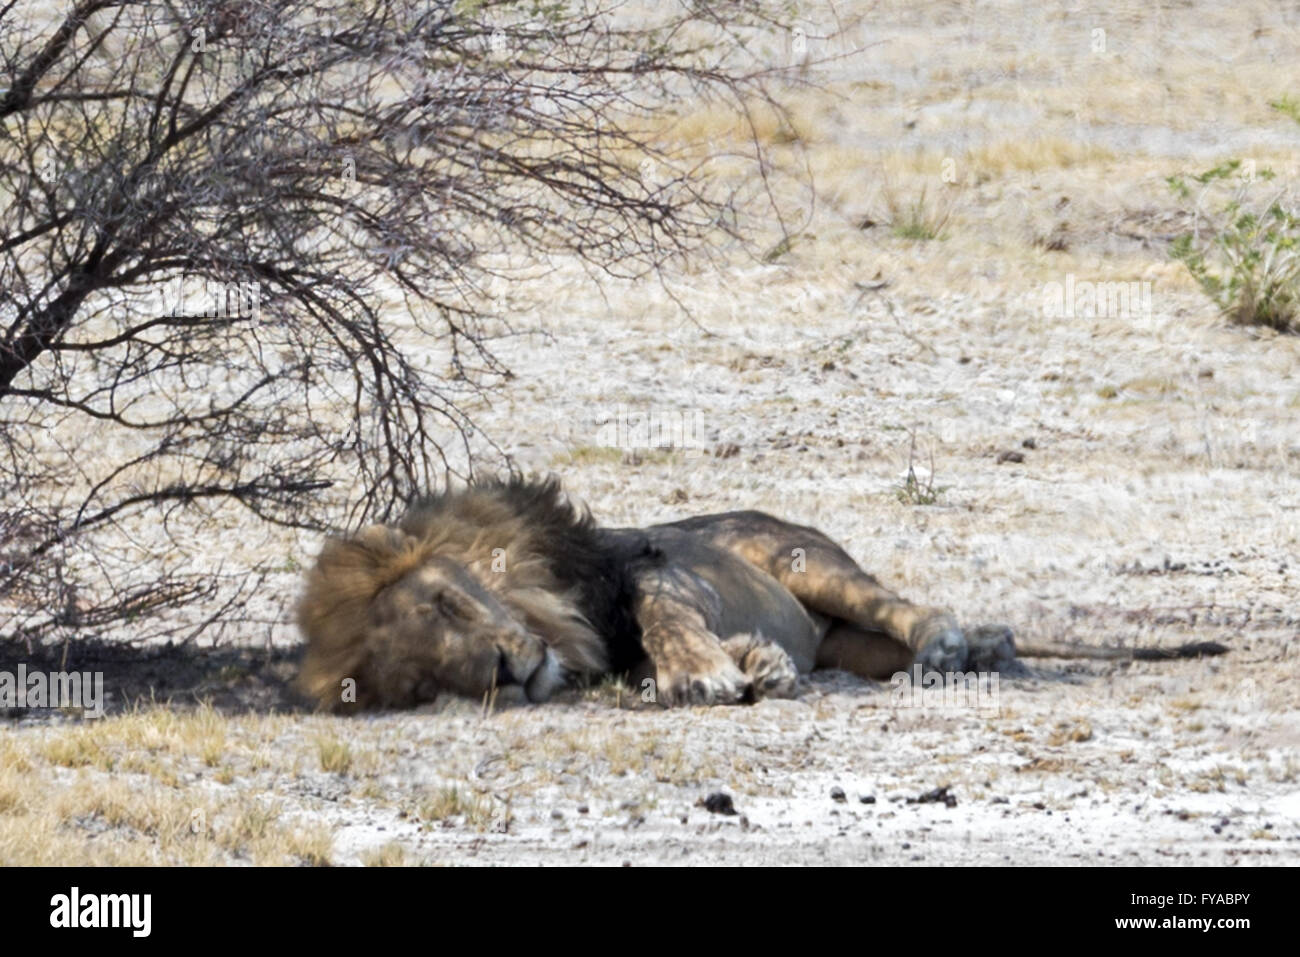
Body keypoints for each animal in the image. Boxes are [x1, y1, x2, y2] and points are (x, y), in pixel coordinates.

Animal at [297, 473, 1227, 712]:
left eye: (448, 604)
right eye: (426, 680)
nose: (499, 669)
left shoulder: (648, 562)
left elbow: (663, 619)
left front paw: (702, 675)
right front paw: (758, 666)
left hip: (801, 557)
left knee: (918, 608)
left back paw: (948, 645)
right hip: (850, 642)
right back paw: (984, 648)